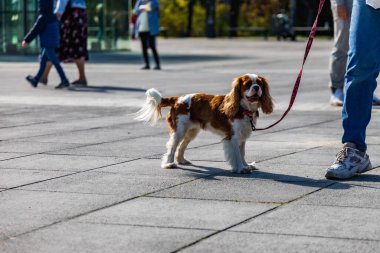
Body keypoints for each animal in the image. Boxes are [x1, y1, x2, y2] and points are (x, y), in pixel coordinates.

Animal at [134, 72, 274, 173]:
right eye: (248, 84)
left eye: (260, 84)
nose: (256, 87)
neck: (243, 108)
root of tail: (177, 99)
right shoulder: (233, 137)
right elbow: (237, 154)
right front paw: (240, 168)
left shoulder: (243, 136)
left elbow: (242, 153)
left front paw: (246, 165)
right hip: (179, 130)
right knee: (172, 146)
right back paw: (169, 163)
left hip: (191, 131)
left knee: (182, 146)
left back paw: (181, 160)